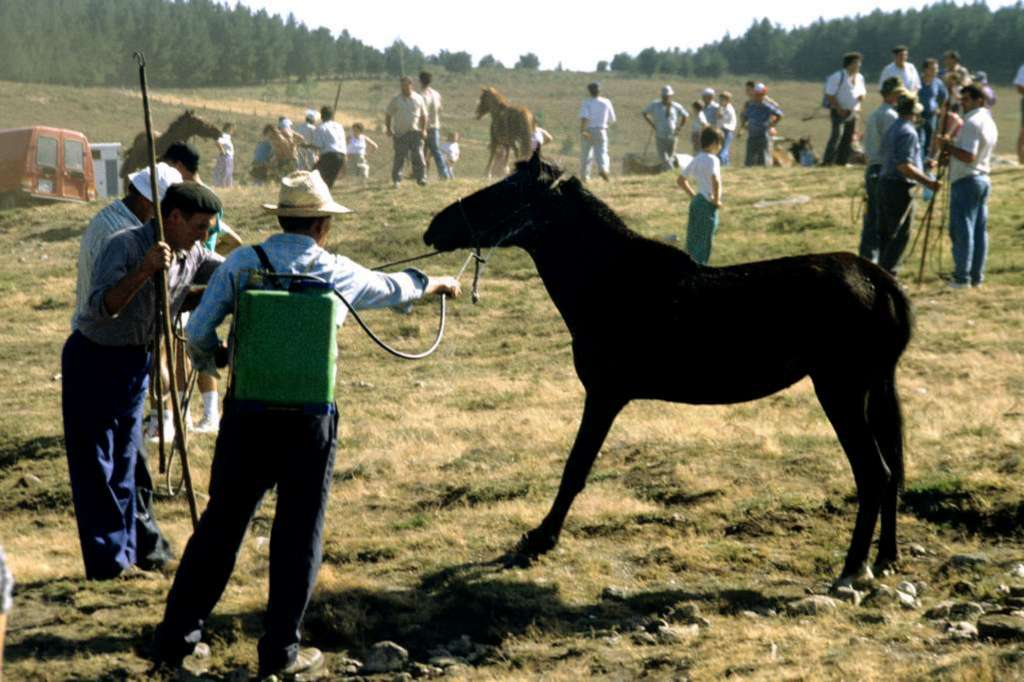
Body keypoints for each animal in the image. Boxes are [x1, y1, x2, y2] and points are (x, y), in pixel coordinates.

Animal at [423, 151, 913, 585]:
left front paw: (540, 539)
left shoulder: (604, 395)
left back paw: (852, 568)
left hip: (841, 391)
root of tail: (879, 278)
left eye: (507, 191)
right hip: (877, 389)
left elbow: (575, 469)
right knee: (894, 469)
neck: (611, 282)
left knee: (875, 474)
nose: (434, 228)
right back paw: (886, 558)